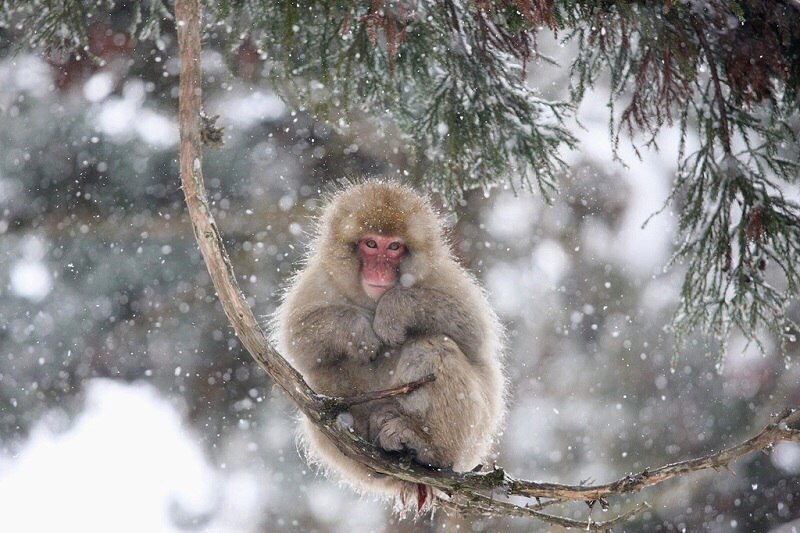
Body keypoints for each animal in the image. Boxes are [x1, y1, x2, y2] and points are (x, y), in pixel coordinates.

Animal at [272, 181, 504, 510]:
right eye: (371, 244)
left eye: (394, 247)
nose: (379, 270)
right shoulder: (319, 280)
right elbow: (296, 341)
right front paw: (358, 332)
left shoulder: (441, 274)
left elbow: (474, 331)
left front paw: (393, 312)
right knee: (324, 371)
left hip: (473, 439)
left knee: (433, 346)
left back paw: (427, 446)